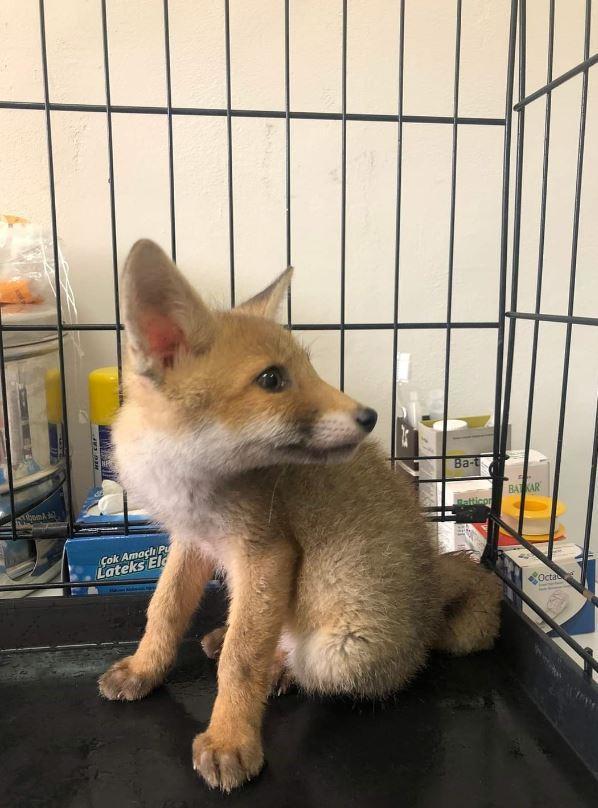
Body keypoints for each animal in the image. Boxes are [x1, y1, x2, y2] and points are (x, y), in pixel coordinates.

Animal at [98, 239, 502, 792]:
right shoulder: (192, 542)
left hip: (339, 653)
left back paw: (282, 670)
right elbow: (163, 612)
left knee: (304, 664)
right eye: (272, 379)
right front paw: (144, 668)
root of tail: (430, 592)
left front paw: (230, 739)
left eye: (309, 371)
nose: (370, 416)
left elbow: (241, 660)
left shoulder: (266, 553)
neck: (187, 481)